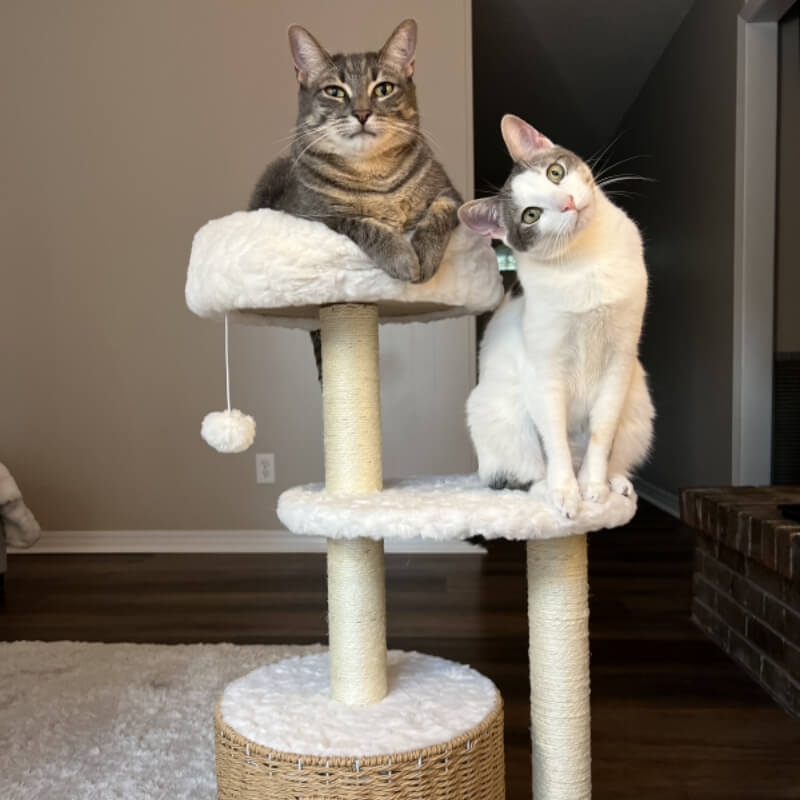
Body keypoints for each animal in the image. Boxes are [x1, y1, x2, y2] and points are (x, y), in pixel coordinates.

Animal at [460, 115, 652, 520]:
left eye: (555, 172)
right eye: (531, 215)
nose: (566, 202)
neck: (586, 259)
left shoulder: (620, 359)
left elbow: (601, 432)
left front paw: (593, 487)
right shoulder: (544, 368)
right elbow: (555, 439)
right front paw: (565, 492)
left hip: (638, 402)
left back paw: (615, 482)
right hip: (495, 412)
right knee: (520, 471)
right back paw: (545, 487)